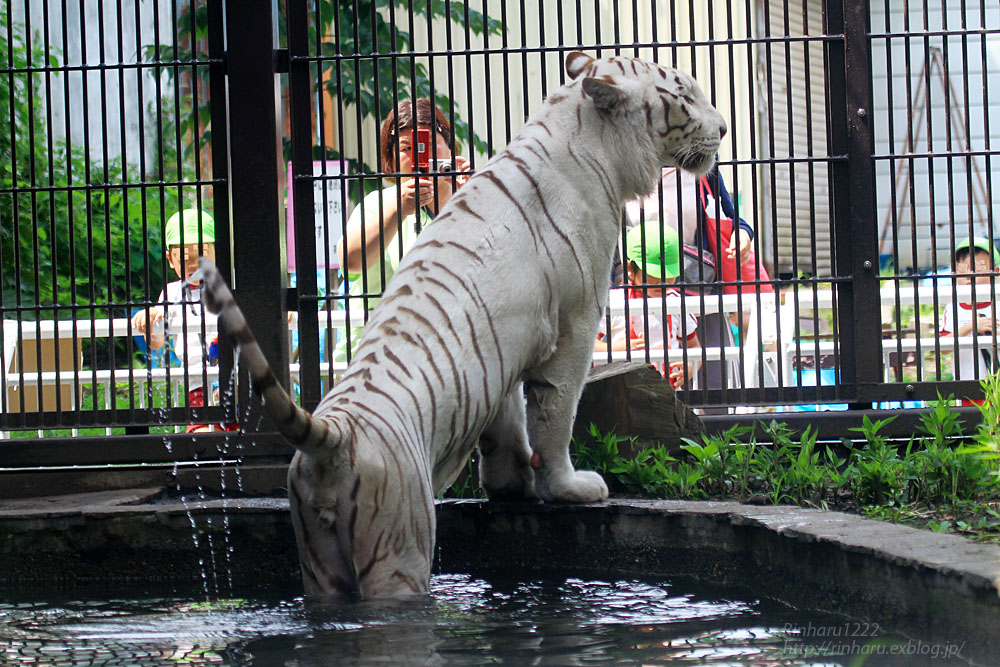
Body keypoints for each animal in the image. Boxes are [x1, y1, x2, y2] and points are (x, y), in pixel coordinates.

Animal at [197, 49, 728, 596]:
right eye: (686, 97)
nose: (726, 128)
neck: (588, 140)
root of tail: (334, 433)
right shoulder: (575, 325)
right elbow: (554, 417)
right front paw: (569, 487)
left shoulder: (504, 349)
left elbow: (508, 421)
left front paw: (512, 487)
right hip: (398, 548)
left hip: (319, 561)